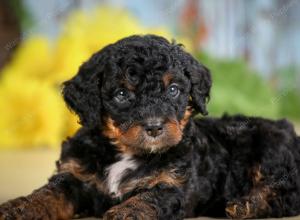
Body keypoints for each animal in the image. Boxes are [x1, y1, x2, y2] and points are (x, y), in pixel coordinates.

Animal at [0, 35, 300, 219]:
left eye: (174, 90)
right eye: (122, 94)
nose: (155, 127)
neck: (126, 152)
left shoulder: (174, 183)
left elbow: (149, 198)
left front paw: (126, 213)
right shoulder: (75, 174)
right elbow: (49, 193)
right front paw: (19, 208)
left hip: (271, 150)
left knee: (288, 192)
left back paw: (247, 204)